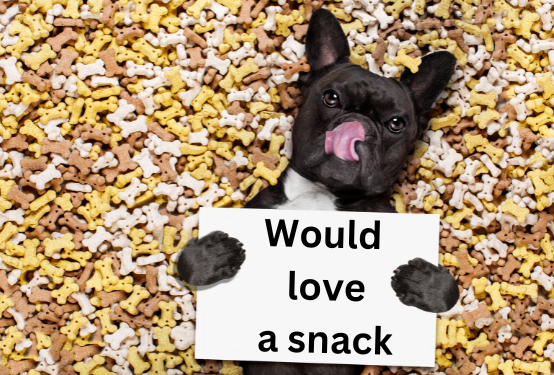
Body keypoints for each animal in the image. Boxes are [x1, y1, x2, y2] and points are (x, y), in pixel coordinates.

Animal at [177, 8, 458, 375]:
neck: (322, 193)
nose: (357, 125)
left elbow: (449, 290)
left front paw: (422, 281)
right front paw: (214, 254)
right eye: (331, 98)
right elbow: (186, 262)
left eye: (396, 124)